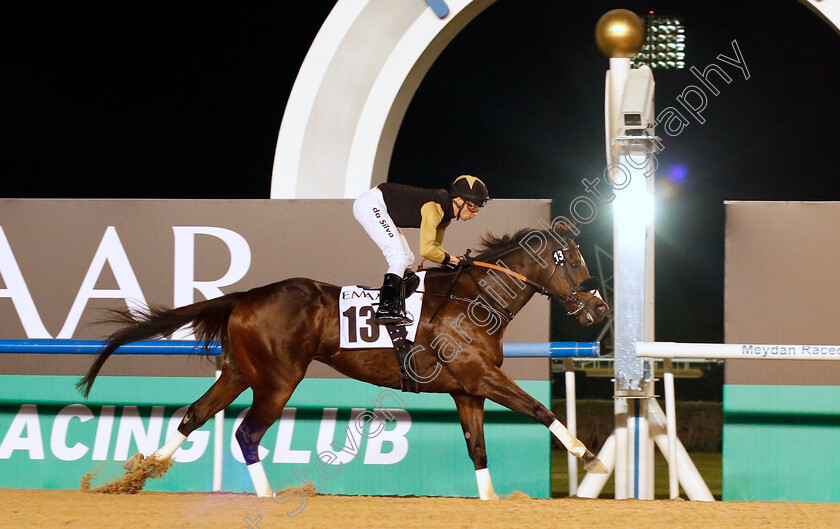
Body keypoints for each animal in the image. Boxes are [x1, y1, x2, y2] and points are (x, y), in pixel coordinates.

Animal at [77, 223, 604, 500]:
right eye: (573, 260)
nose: (599, 309)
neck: (475, 299)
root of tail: (247, 296)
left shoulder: (465, 389)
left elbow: (478, 448)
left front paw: (491, 499)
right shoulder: (482, 375)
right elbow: (539, 409)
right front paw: (590, 458)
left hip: (240, 372)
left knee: (195, 415)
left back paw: (137, 475)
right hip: (278, 379)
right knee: (246, 433)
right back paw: (267, 497)